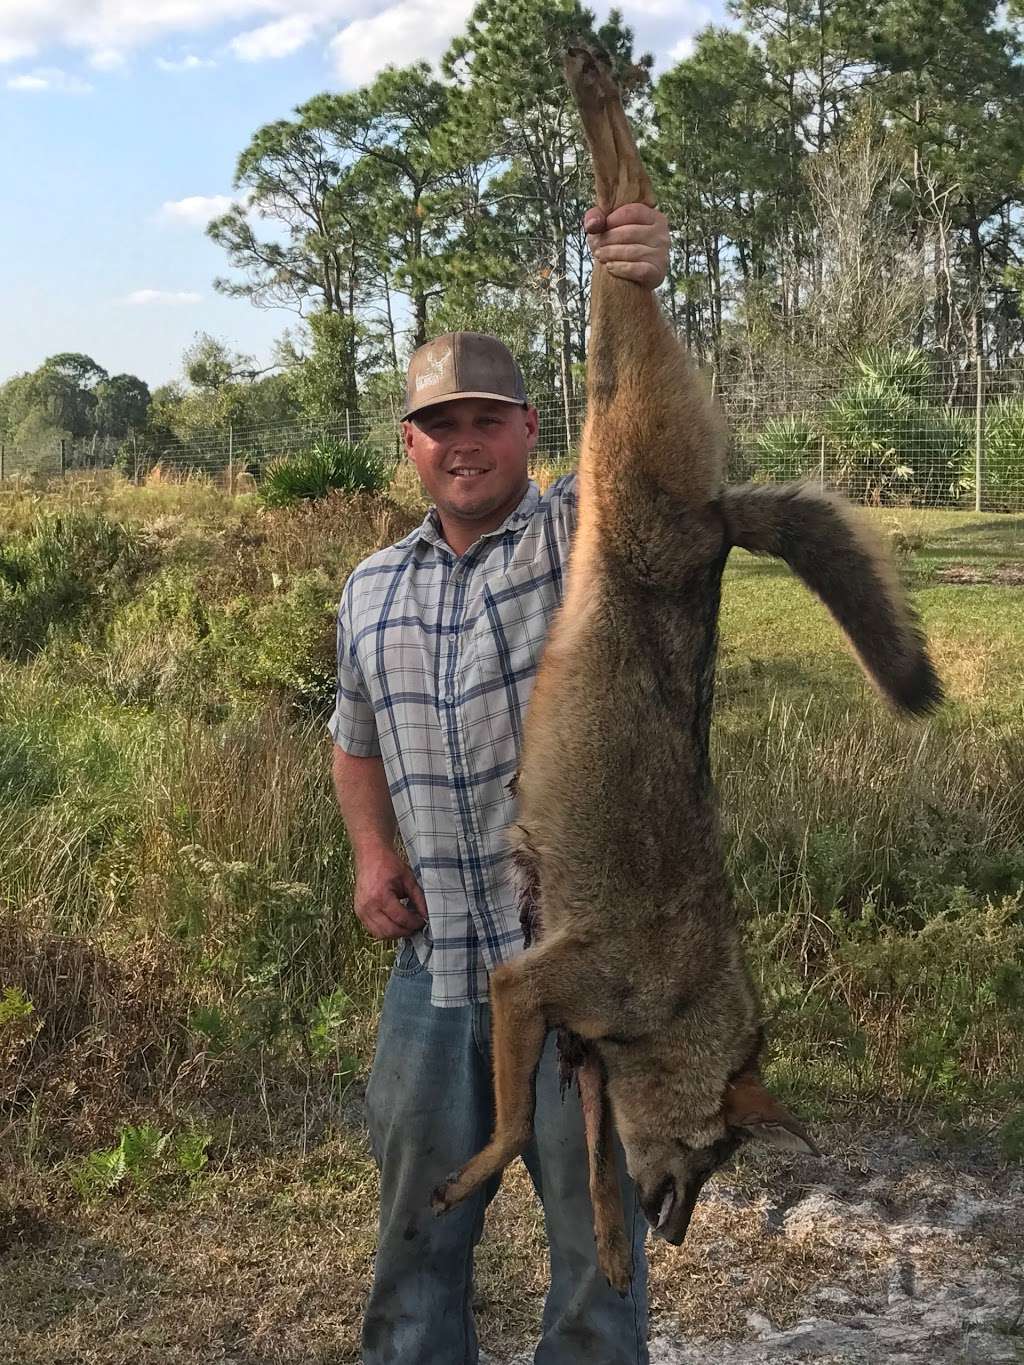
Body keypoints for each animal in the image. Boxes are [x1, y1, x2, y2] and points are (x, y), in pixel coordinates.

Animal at [432, 43, 941, 1293]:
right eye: (715, 1158)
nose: (675, 1232)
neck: (674, 1006)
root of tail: (715, 525)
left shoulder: (575, 1052)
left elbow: (582, 1167)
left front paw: (615, 1257)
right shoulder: (527, 988)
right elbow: (504, 1133)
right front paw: (482, 1177)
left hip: (616, 388)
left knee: (623, 210)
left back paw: (593, 85)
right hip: (621, 382)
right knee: (629, 200)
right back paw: (589, 77)